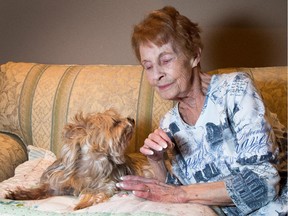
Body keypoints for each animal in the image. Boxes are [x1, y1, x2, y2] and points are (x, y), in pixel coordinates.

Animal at [5, 109, 154, 210]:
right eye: (115, 122)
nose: (132, 119)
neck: (91, 162)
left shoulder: (106, 185)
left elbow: (93, 192)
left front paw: (81, 204)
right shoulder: (58, 185)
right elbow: (42, 190)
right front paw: (20, 194)